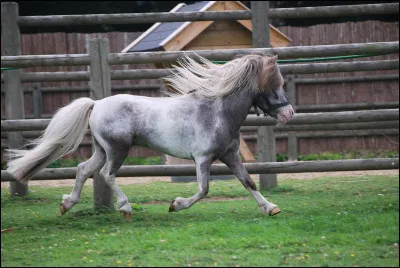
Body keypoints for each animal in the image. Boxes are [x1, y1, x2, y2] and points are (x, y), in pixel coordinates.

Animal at [5, 53, 294, 219]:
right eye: (272, 84)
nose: (289, 113)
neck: (216, 111)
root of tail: (96, 104)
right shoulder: (203, 158)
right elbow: (203, 190)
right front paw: (175, 205)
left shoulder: (230, 155)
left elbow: (249, 182)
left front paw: (270, 207)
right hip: (118, 149)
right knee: (106, 174)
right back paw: (125, 208)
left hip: (102, 149)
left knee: (83, 169)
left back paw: (67, 204)